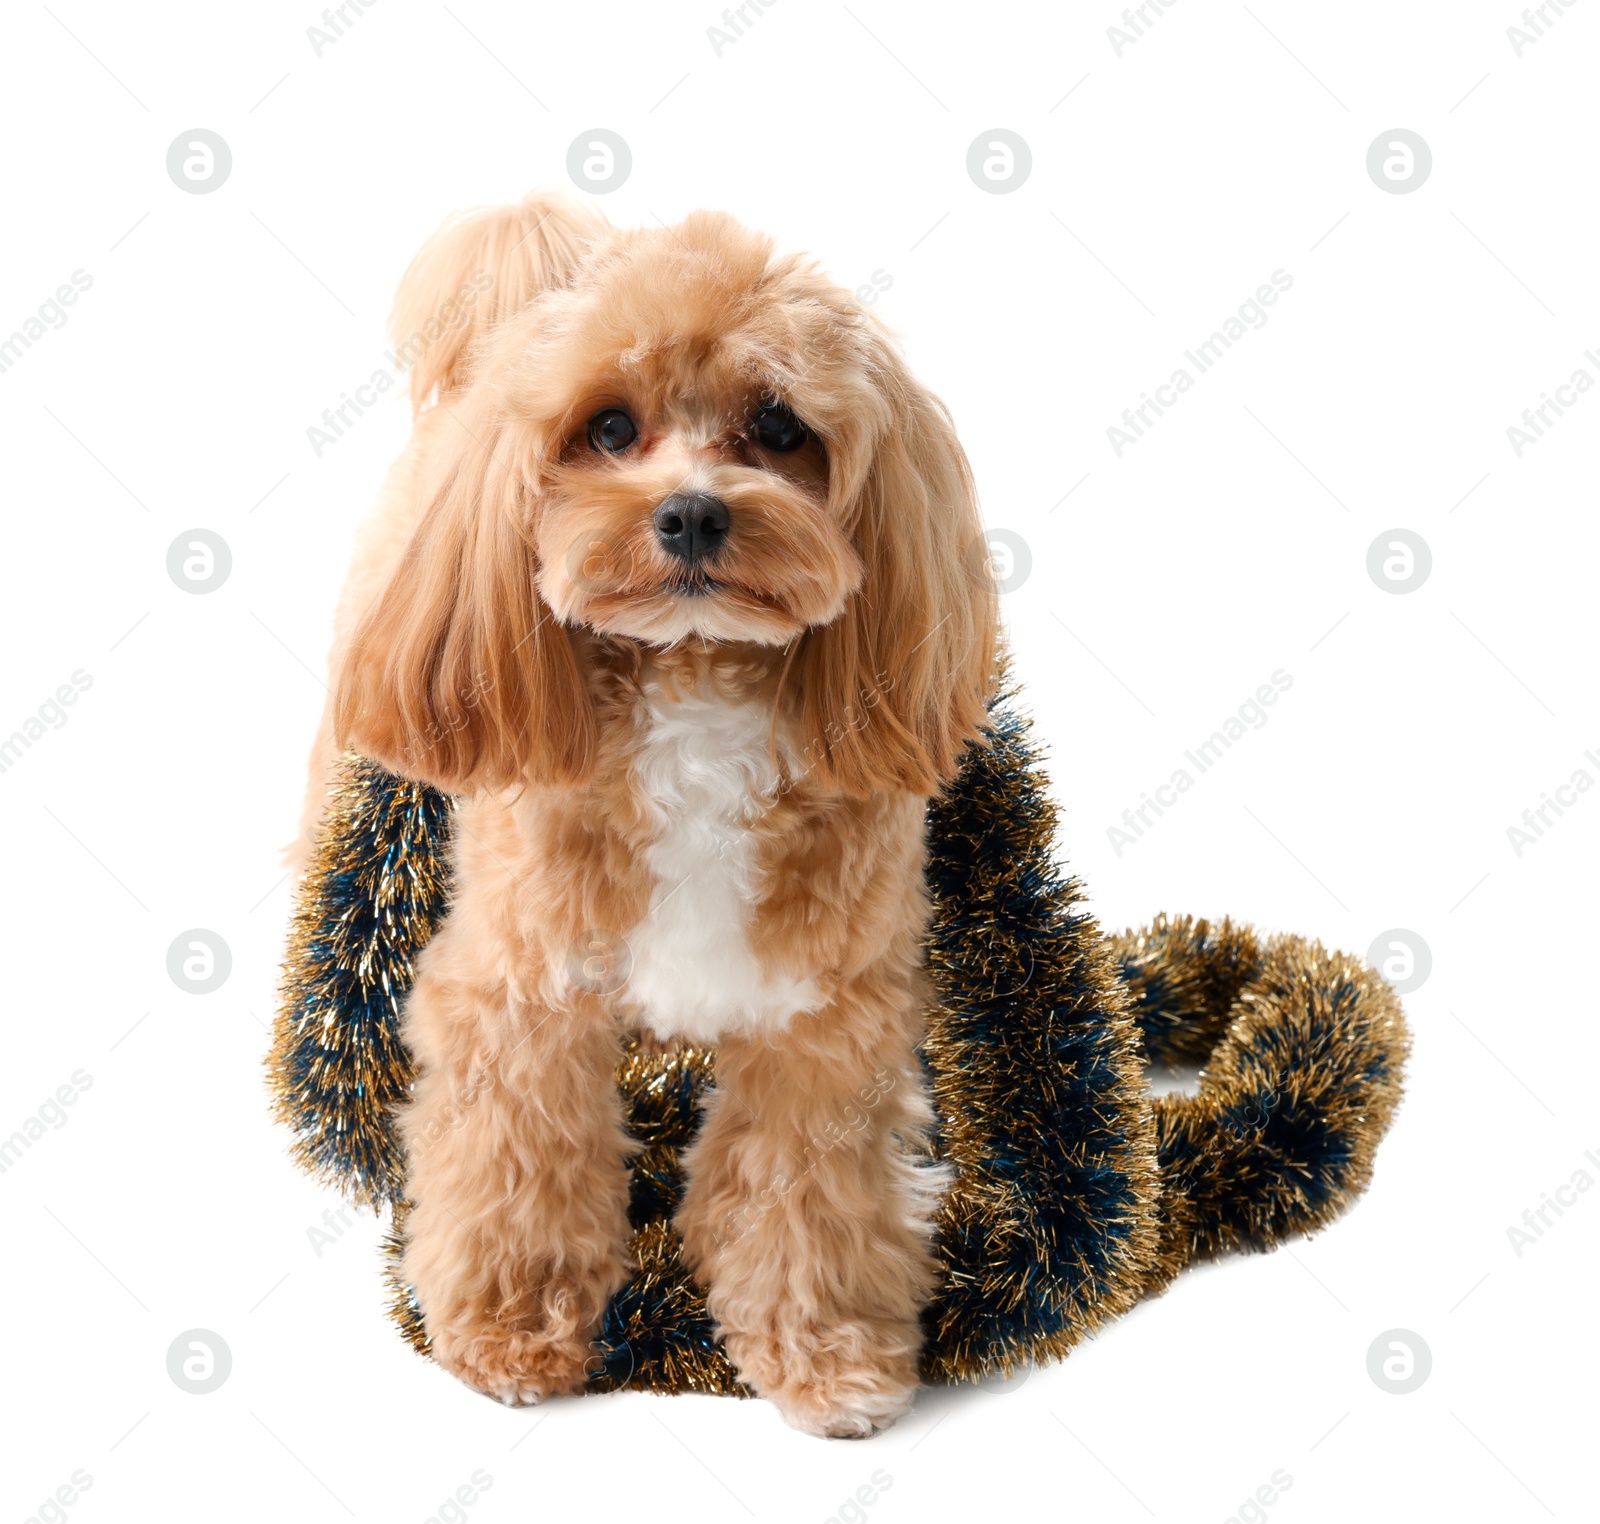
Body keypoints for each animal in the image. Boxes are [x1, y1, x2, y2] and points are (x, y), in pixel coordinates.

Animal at [299, 187, 992, 1427]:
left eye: (779, 426)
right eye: (609, 429)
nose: (692, 516)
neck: (694, 683)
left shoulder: (826, 1016)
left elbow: (806, 1195)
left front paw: (826, 1355)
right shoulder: (516, 993)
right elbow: (516, 1166)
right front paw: (508, 1331)